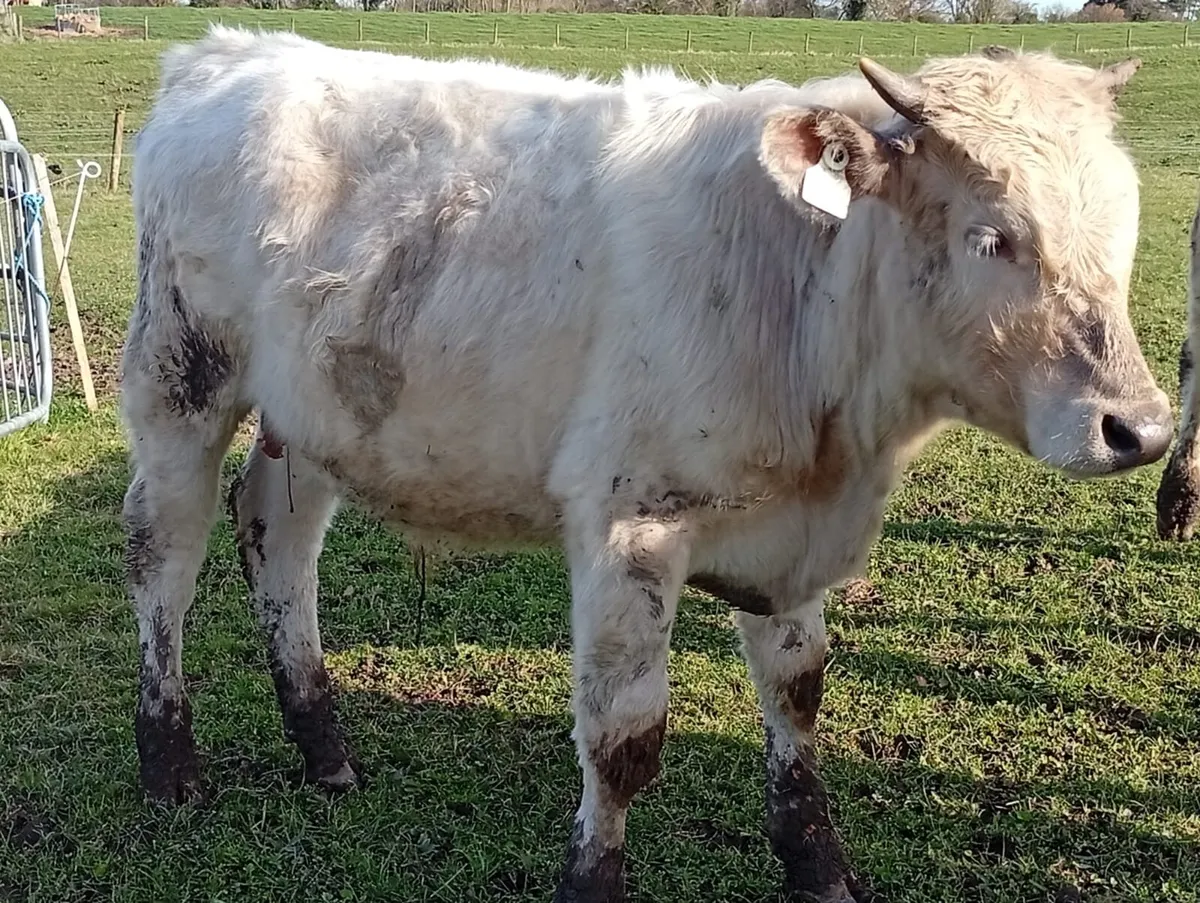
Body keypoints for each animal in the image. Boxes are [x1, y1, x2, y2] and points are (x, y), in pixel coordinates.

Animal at [120, 28, 1169, 903]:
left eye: (1125, 224)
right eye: (994, 237)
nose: (1142, 429)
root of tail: (229, 51)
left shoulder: (788, 532)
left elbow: (799, 697)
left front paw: (819, 865)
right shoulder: (630, 516)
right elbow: (624, 738)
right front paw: (593, 879)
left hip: (314, 413)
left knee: (279, 540)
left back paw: (323, 745)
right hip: (181, 381)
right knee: (164, 555)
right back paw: (170, 764)